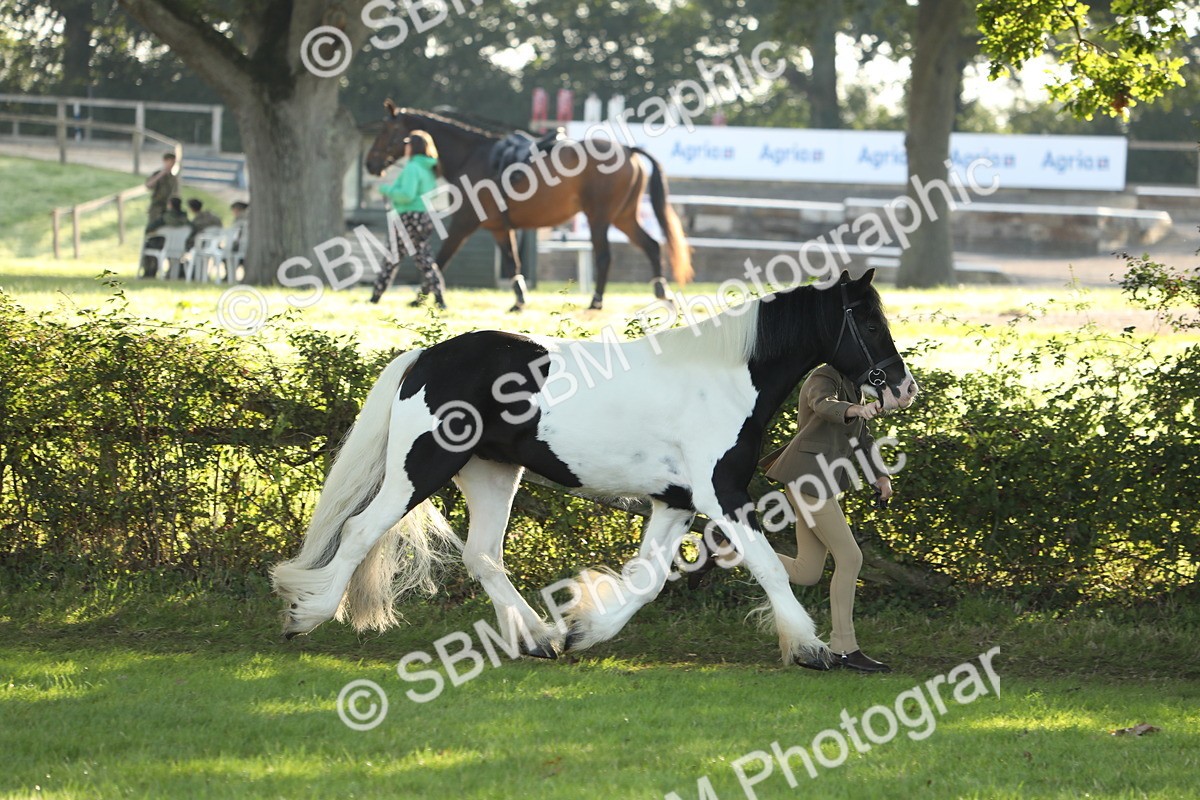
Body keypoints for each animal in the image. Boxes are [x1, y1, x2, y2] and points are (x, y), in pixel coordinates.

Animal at [271, 269, 918, 667]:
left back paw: (537, 638)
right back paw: (305, 617)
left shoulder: (676, 501)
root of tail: (425, 357)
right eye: (867, 321)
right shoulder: (721, 495)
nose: (902, 387)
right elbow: (767, 568)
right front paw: (810, 648)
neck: (725, 378)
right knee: (360, 531)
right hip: (420, 467)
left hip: (491, 475)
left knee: (483, 556)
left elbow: (648, 579)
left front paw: (583, 630)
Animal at [364, 102, 693, 312]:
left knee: (604, 257)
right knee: (651, 246)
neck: (473, 155)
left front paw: (421, 297)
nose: (370, 164)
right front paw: (519, 300)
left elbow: (441, 258)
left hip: (599, 218)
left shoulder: (464, 222)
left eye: (385, 132)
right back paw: (661, 292)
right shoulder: (499, 228)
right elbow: (513, 264)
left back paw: (596, 301)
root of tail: (627, 150)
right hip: (623, 217)